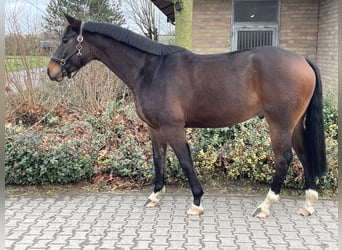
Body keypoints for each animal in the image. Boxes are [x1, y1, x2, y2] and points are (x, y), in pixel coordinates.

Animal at [47, 14, 326, 217]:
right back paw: (308, 204)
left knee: (284, 159)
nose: (51, 71)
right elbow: (158, 159)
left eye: (65, 39)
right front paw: (155, 196)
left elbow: (184, 161)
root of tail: (302, 59)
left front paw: (196, 202)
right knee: (304, 154)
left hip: (279, 123)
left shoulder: (173, 127)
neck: (151, 70)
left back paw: (266, 206)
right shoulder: (155, 128)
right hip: (294, 124)